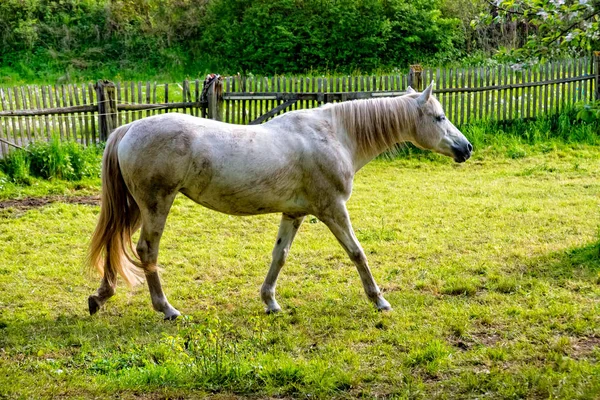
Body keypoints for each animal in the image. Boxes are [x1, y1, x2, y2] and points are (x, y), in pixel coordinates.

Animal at [86, 83, 472, 318]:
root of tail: (128, 129)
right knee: (146, 251)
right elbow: (357, 252)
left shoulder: (294, 213)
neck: (334, 134)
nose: (466, 148)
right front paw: (379, 300)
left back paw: (100, 296)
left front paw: (270, 301)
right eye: (439, 117)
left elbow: (280, 256)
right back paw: (166, 308)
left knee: (115, 242)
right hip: (155, 205)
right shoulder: (332, 209)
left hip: (137, 207)